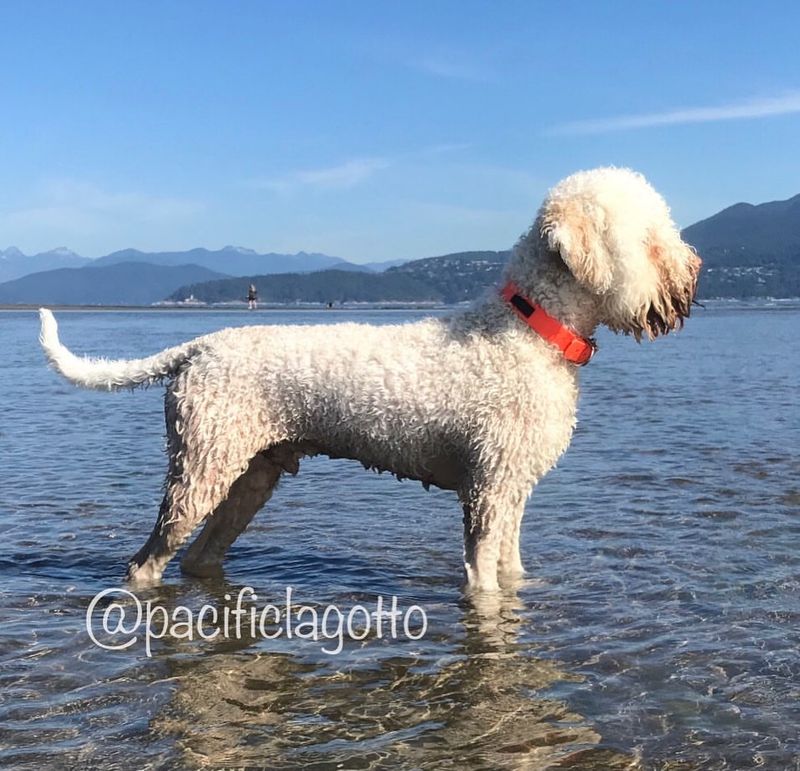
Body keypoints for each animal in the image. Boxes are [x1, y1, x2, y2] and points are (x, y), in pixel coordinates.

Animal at [39, 167, 700, 592]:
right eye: (649, 239)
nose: (695, 269)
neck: (529, 327)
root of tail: (198, 347)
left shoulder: (511, 488)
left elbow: (510, 572)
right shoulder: (487, 491)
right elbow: (484, 582)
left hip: (251, 474)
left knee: (198, 559)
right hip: (201, 467)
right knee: (146, 562)